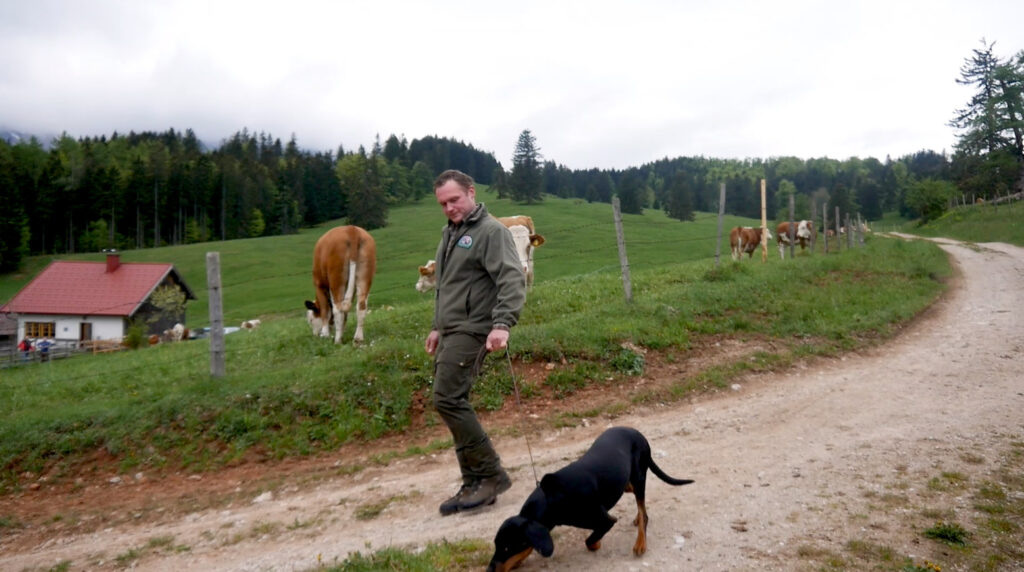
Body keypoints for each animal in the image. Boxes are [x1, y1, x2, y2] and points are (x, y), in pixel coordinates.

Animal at [483, 427, 692, 568]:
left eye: (508, 548)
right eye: (496, 545)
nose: (489, 570)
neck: (552, 498)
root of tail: (638, 433)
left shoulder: (606, 520)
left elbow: (590, 541)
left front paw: (597, 544)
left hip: (639, 477)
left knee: (644, 513)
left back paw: (640, 542)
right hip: (629, 481)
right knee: (635, 498)